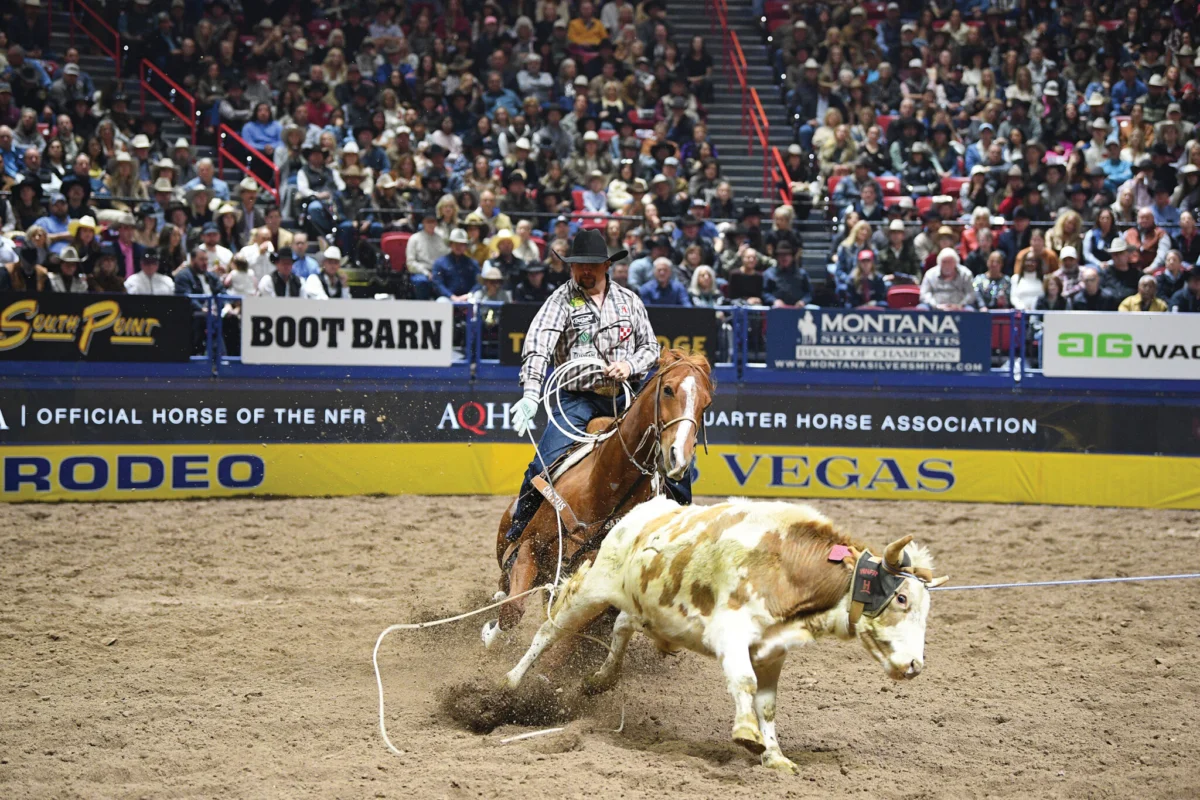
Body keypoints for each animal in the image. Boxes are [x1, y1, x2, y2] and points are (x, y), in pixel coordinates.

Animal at [484, 349, 715, 644]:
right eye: (667, 390)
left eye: (706, 404)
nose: (679, 458)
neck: (604, 488)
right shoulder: (530, 546)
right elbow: (512, 610)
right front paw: (488, 636)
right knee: (505, 581)